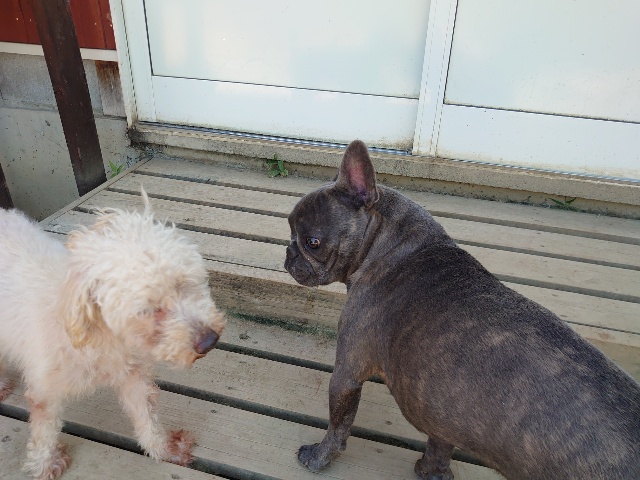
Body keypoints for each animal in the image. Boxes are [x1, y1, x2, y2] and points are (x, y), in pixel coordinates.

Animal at [0, 189, 225, 480]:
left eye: (183, 284)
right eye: (148, 309)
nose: (210, 340)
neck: (100, 336)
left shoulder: (132, 374)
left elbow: (146, 415)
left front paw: (163, 448)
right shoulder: (43, 389)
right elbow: (43, 431)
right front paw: (44, 463)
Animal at [285, 140, 640, 479]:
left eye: (313, 242)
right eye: (290, 228)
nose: (289, 252)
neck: (391, 246)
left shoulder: (347, 374)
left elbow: (338, 425)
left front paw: (319, 458)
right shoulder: (441, 416)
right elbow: (440, 446)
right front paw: (432, 473)